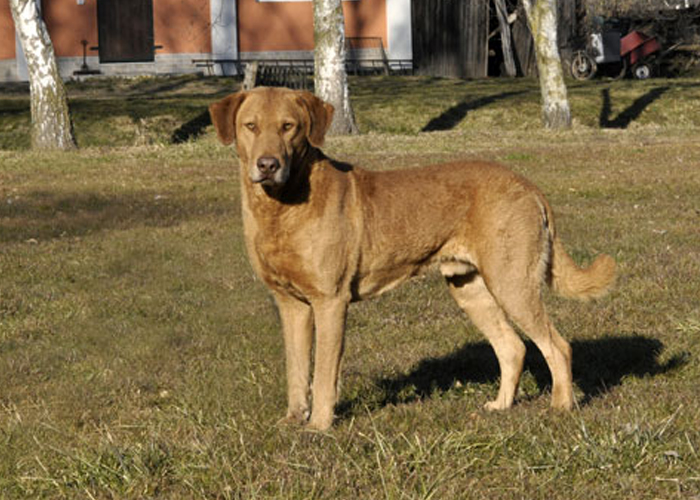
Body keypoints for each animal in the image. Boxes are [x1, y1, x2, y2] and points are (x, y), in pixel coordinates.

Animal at [211, 86, 616, 430]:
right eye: (250, 126)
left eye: (288, 127)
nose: (267, 164)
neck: (281, 207)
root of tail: (530, 187)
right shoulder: (290, 305)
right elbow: (296, 370)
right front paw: (294, 420)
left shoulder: (330, 301)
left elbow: (323, 374)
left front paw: (319, 426)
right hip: (469, 287)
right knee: (512, 347)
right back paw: (501, 406)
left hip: (512, 282)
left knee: (557, 346)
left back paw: (561, 408)